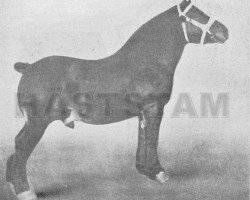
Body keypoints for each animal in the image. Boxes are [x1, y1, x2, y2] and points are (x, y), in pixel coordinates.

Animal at [5, 0, 229, 199]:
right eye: (195, 15)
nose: (224, 31)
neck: (147, 62)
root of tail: (28, 68)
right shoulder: (154, 108)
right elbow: (153, 139)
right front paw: (159, 173)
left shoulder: (142, 112)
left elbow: (143, 139)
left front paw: (145, 171)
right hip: (37, 123)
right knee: (21, 146)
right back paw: (25, 191)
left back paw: (12, 184)